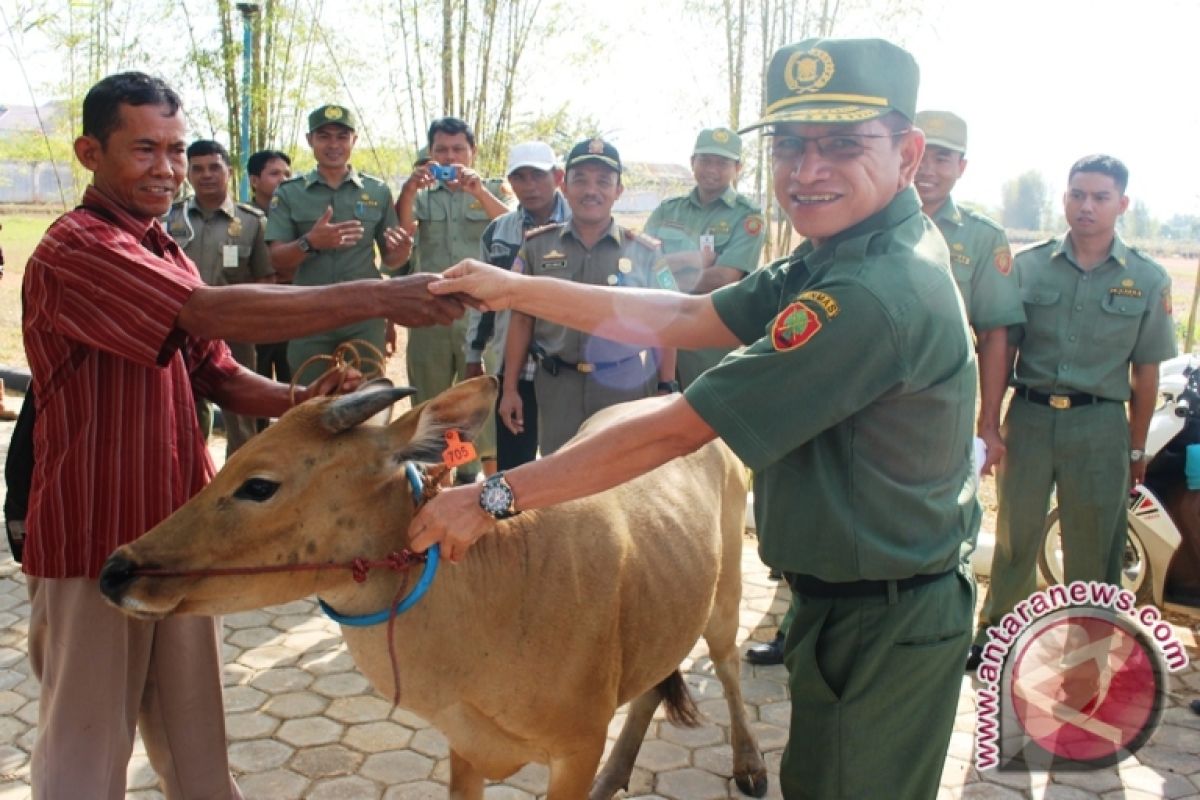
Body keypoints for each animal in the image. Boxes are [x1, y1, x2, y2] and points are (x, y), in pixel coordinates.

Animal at [98, 379, 763, 796]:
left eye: (259, 484)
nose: (116, 570)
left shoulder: (576, 745)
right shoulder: (463, 748)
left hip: (727, 587)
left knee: (726, 660)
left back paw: (750, 765)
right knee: (656, 679)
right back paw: (617, 776)